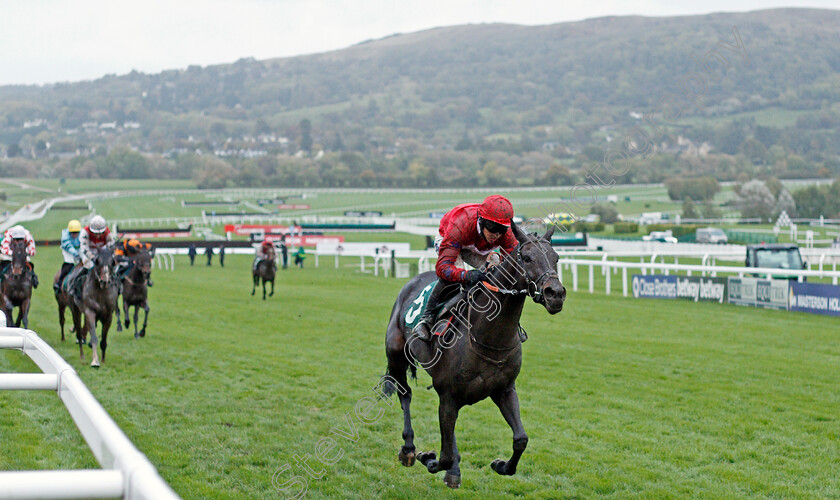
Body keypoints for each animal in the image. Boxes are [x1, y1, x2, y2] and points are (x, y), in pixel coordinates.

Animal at [386, 222, 568, 488]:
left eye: (556, 258)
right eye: (526, 258)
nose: (555, 293)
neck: (490, 338)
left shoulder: (503, 389)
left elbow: (521, 439)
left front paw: (501, 465)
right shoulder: (449, 395)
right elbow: (444, 456)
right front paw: (427, 457)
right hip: (396, 354)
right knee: (405, 394)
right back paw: (409, 449)